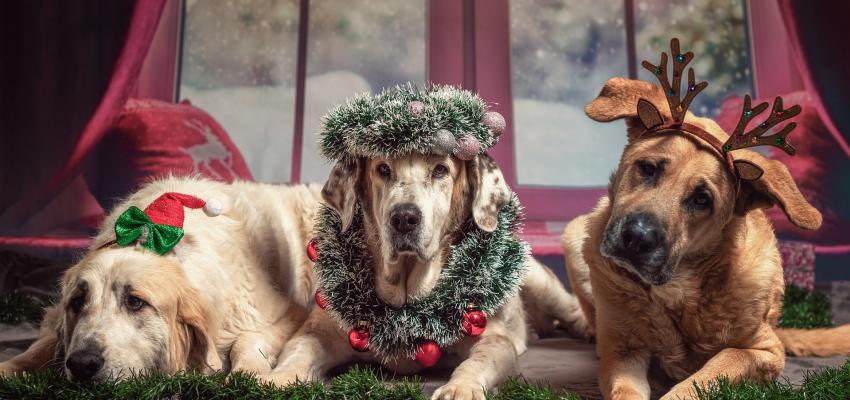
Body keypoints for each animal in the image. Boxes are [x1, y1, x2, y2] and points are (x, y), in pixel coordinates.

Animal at [0, 177, 322, 382]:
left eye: (135, 302)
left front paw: (250, 373)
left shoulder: (287, 315)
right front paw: (9, 367)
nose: (82, 364)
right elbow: (39, 346)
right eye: (77, 302)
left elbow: (246, 339)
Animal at [262, 154, 588, 400]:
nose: (404, 217)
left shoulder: (493, 338)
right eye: (383, 169)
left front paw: (460, 388)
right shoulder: (319, 330)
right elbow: (298, 351)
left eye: (440, 170)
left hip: (534, 276)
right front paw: (278, 379)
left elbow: (479, 360)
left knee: (569, 305)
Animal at [564, 76, 848, 398]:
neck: (679, 289)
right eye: (648, 168)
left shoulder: (764, 351)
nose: (637, 238)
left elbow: (713, 370)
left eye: (702, 199)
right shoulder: (622, 352)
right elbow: (625, 390)